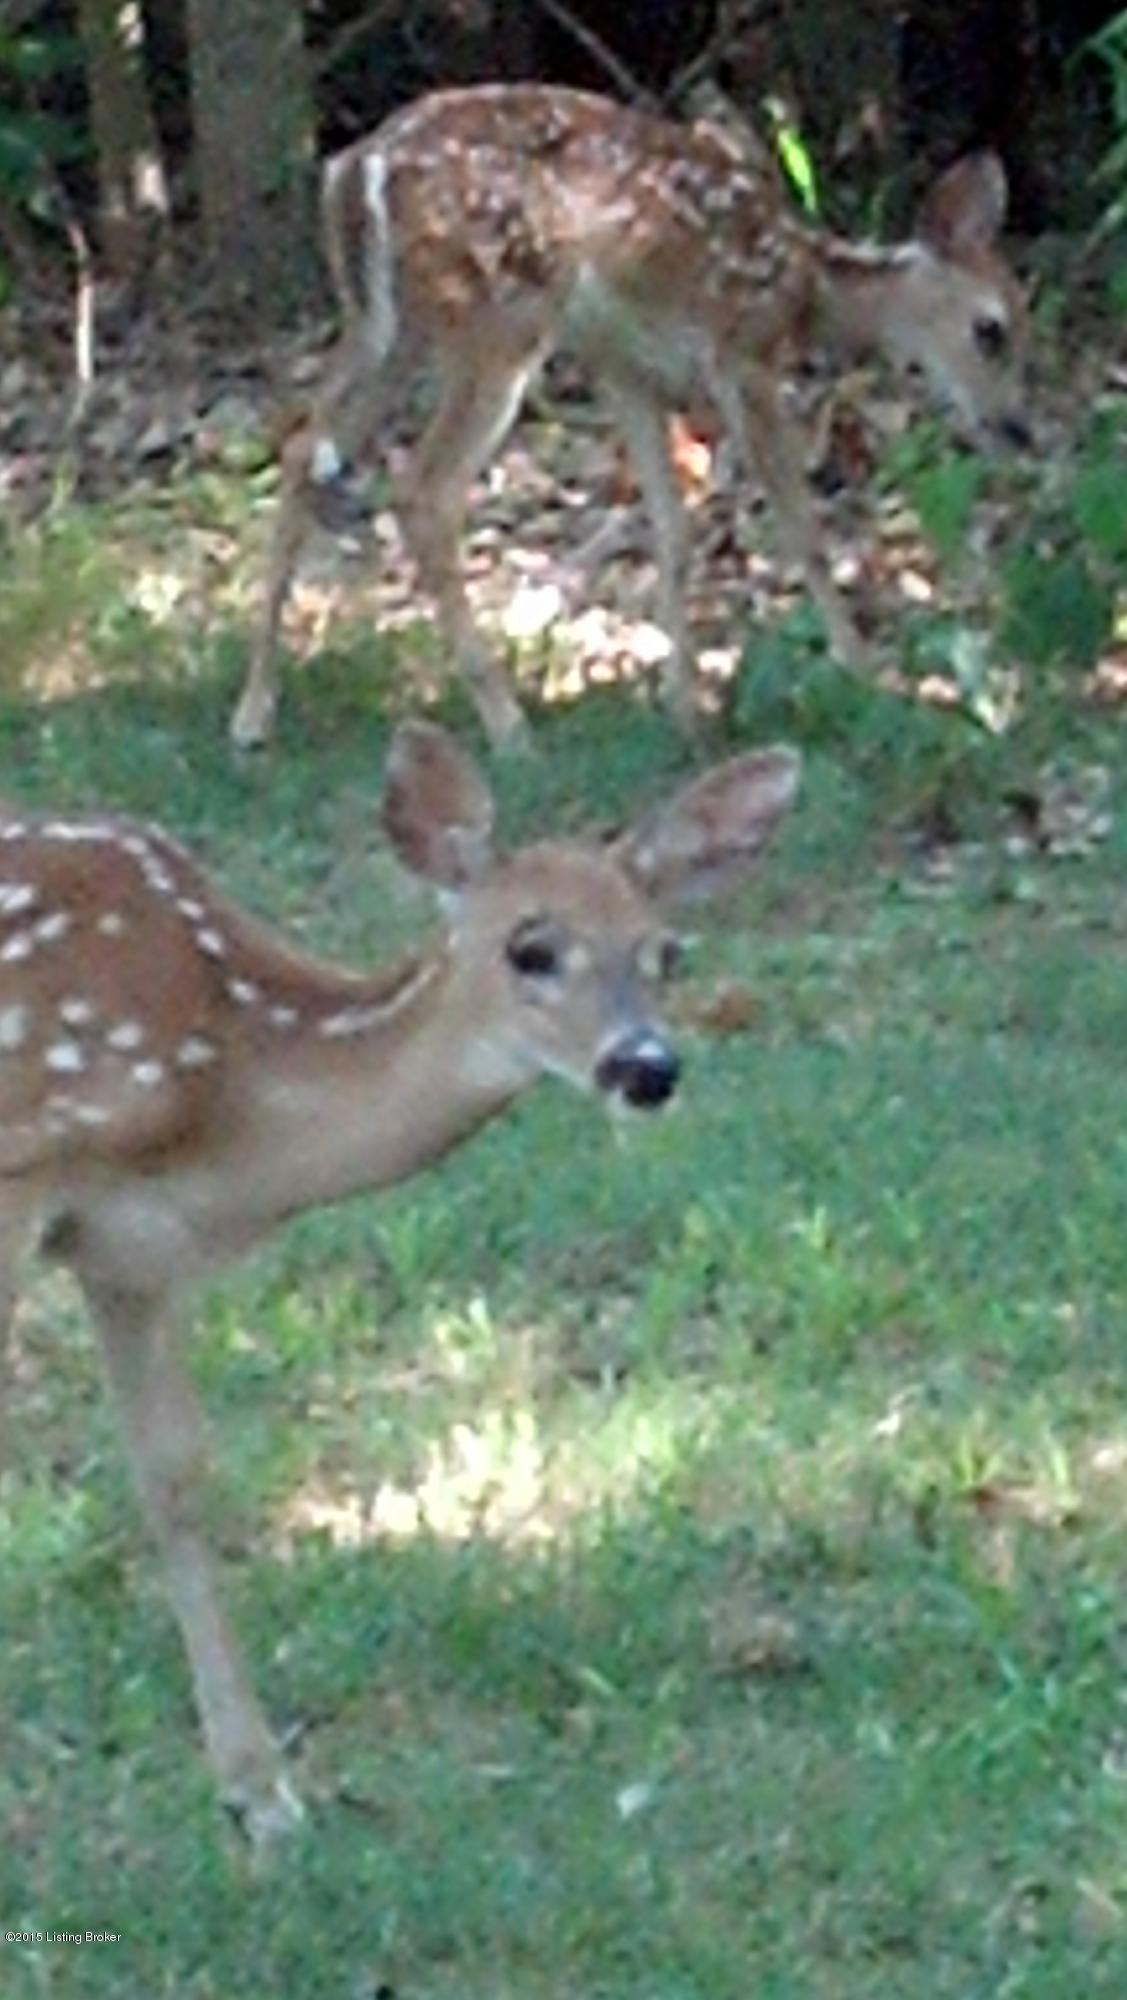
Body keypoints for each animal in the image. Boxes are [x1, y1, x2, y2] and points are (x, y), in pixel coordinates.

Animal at [0, 720, 800, 1850]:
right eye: (529, 947)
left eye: (666, 953)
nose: (646, 1068)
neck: (223, 1089)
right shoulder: (22, 1172)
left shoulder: (128, 1250)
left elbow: (175, 1480)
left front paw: (260, 1792)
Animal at [230, 82, 1030, 756]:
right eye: (990, 329)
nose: (1018, 429)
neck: (806, 289)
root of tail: (356, 170)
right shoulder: (741, 355)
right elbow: (799, 524)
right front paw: (866, 673)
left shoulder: (627, 372)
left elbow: (672, 529)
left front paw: (683, 711)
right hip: (496, 319)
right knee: (424, 491)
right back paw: (508, 726)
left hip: (386, 326)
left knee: (305, 448)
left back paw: (254, 712)